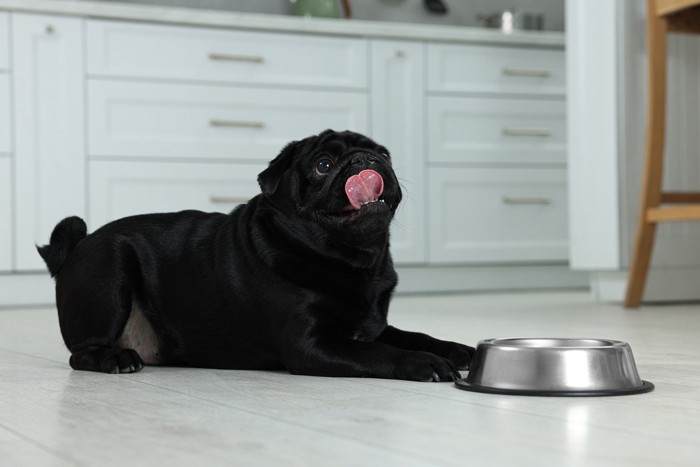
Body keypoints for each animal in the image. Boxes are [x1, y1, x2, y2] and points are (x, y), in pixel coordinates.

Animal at [39, 130, 476, 382]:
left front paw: (456, 350)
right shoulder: (313, 344)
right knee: (80, 354)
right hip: (111, 269)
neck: (353, 261)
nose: (366, 161)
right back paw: (115, 359)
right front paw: (424, 363)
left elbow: (413, 335)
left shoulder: (370, 324)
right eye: (324, 164)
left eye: (384, 154)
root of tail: (79, 245)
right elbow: (380, 351)